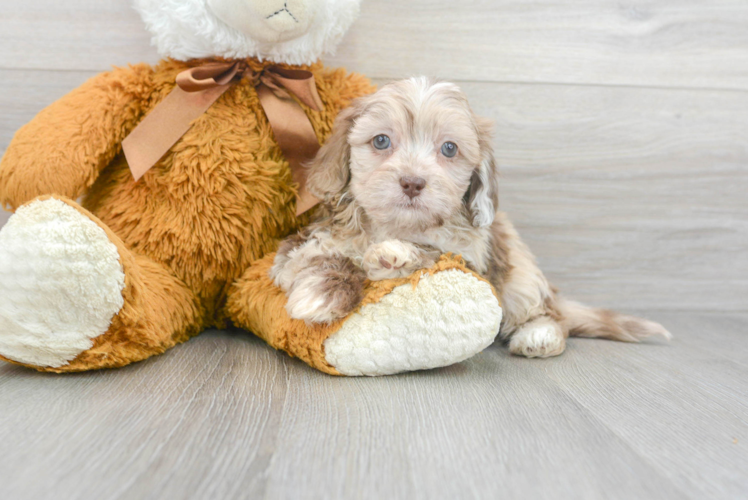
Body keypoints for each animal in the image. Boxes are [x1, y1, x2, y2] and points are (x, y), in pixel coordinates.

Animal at [272, 77, 668, 356]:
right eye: (381, 141)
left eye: (449, 148)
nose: (413, 182)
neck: (397, 225)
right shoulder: (303, 247)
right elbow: (317, 257)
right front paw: (322, 291)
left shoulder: (470, 259)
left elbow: (431, 253)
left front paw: (393, 255)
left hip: (521, 272)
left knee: (549, 313)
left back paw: (539, 334)